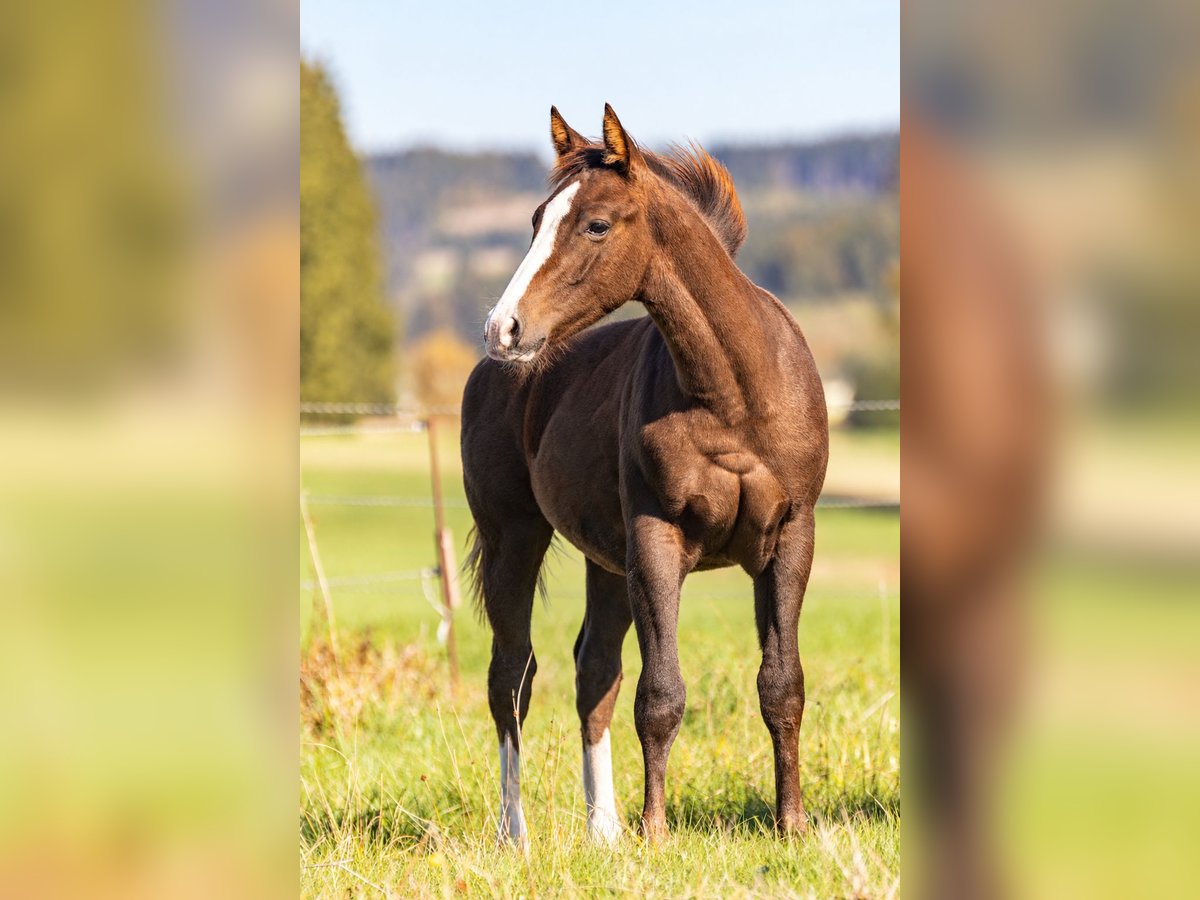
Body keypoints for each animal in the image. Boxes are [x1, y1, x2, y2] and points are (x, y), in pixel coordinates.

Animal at [460, 105, 828, 848]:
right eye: (537, 220)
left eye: (596, 224)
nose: (504, 328)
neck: (735, 397)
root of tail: (488, 373)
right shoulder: (657, 541)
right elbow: (660, 693)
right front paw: (657, 831)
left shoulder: (790, 539)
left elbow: (782, 685)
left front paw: (792, 824)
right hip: (516, 538)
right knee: (512, 675)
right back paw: (515, 835)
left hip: (606, 561)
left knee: (592, 668)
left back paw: (604, 830)